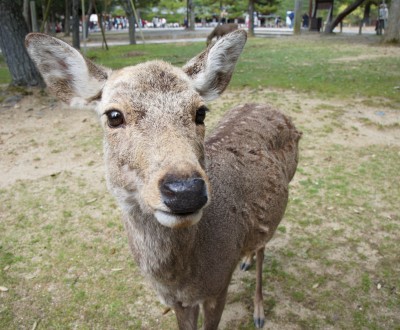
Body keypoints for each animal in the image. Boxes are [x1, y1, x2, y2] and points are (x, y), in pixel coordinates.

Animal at [25, 29, 300, 328]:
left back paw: (259, 309)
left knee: (264, 246)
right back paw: (246, 260)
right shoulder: (176, 302)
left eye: (201, 112)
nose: (184, 190)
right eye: (113, 115)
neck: (181, 278)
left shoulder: (218, 287)